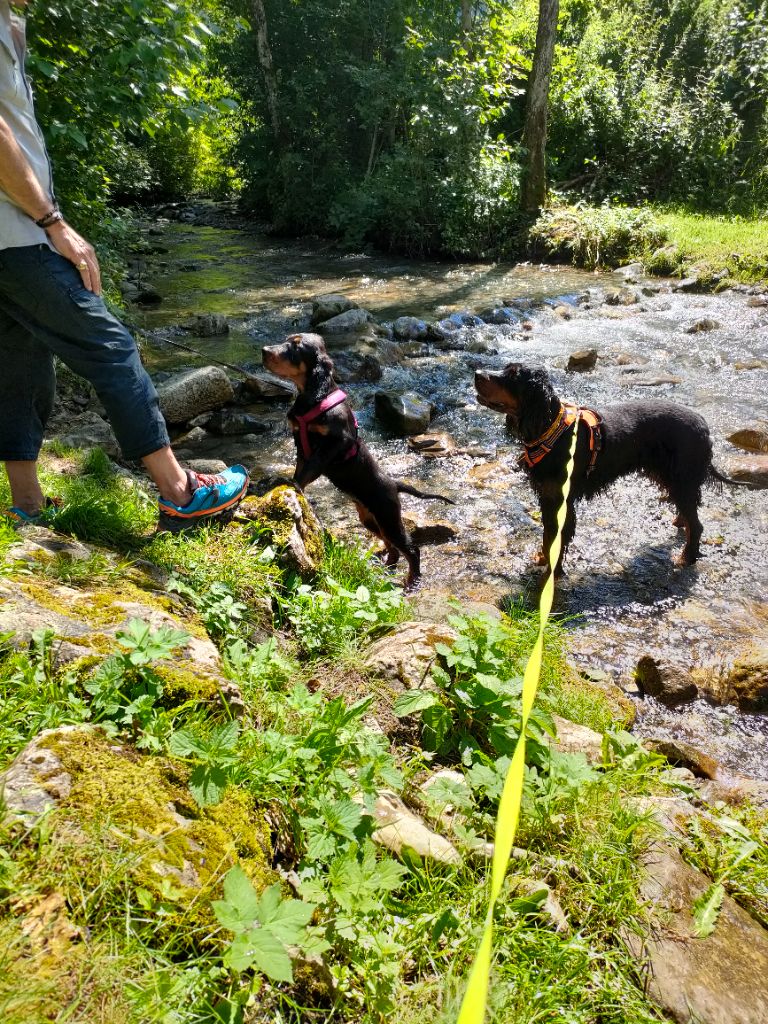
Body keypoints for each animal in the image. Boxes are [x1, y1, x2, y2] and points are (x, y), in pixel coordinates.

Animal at [262, 331, 454, 589]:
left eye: (295, 347)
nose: (264, 350)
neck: (315, 397)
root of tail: (394, 484)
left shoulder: (334, 444)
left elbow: (309, 469)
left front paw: (293, 485)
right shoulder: (300, 444)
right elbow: (301, 468)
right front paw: (285, 481)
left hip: (388, 517)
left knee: (411, 550)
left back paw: (412, 582)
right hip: (370, 519)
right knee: (393, 549)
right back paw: (387, 568)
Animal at [475, 364, 745, 577]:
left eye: (512, 376)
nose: (477, 373)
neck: (552, 431)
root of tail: (704, 426)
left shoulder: (562, 500)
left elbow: (557, 538)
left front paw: (553, 573)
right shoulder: (548, 496)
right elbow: (547, 535)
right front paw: (543, 558)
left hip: (682, 477)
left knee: (697, 524)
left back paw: (686, 558)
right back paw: (680, 523)